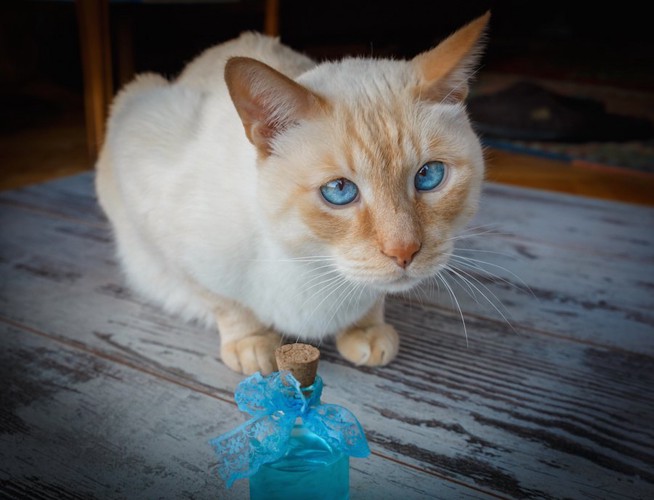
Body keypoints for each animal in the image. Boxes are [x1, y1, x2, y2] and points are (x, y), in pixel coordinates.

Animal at [96, 10, 492, 376]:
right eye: (339, 190)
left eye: (428, 176)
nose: (404, 252)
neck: (316, 266)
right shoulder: (160, 216)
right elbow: (225, 302)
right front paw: (254, 344)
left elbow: (373, 298)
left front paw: (365, 330)